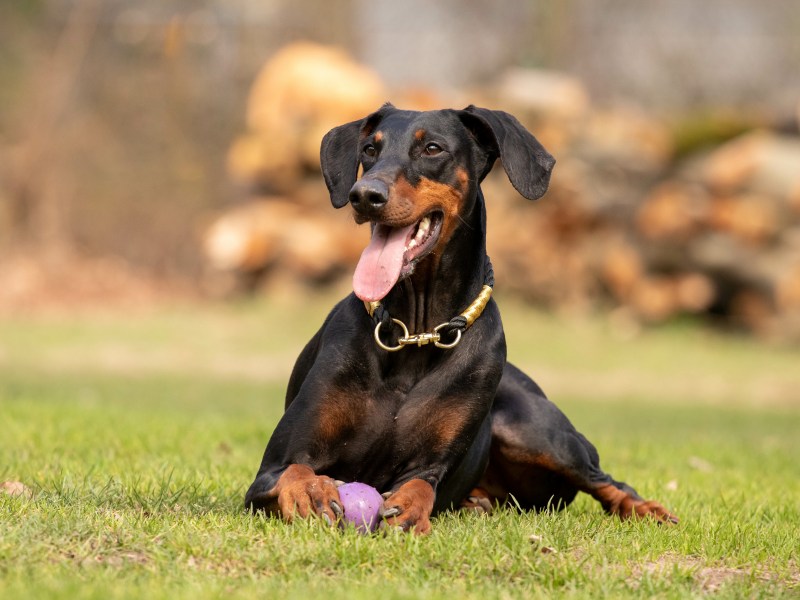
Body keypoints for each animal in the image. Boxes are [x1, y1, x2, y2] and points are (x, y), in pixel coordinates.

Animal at [242, 104, 676, 536]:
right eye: (369, 149)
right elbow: (293, 471)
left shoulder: (431, 464)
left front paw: (409, 510)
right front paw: (313, 492)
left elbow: (422, 486)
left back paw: (648, 509)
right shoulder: (270, 469)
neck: (416, 333)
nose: (364, 195)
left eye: (432, 148)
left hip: (536, 429)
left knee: (607, 480)